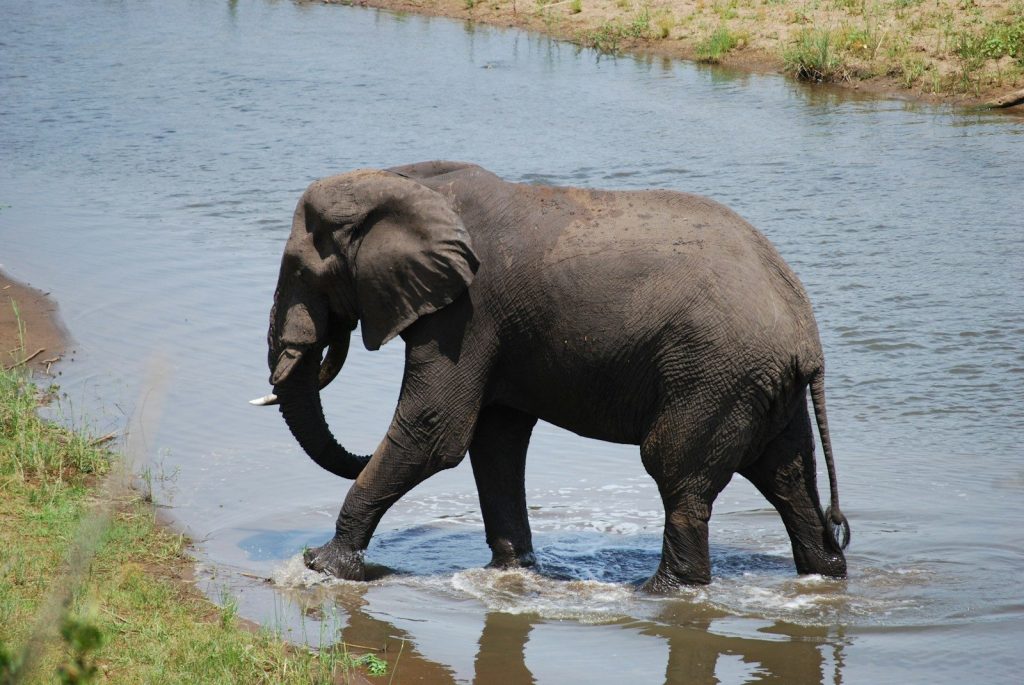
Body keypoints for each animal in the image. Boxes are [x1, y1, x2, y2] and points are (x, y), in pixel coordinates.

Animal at [253, 160, 850, 591]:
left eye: (301, 271)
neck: (404, 180)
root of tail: (807, 332)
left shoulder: (467, 314)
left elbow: (435, 432)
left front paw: (319, 567)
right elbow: (494, 440)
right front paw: (513, 574)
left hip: (714, 375)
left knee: (677, 471)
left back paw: (660, 593)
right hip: (758, 383)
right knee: (786, 477)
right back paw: (824, 574)